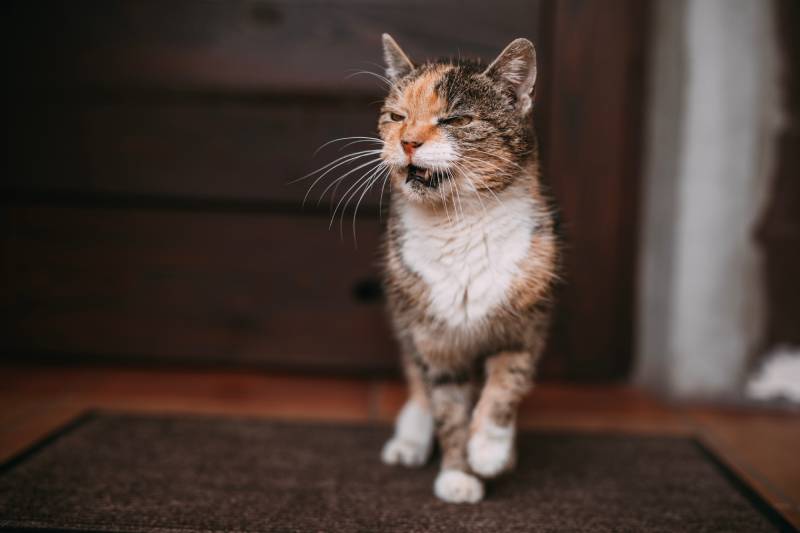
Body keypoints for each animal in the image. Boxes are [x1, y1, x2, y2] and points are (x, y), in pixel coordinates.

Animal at [378, 34, 560, 502]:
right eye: (397, 116)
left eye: (456, 119)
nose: (408, 141)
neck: (459, 223)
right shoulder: (434, 342)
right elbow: (447, 408)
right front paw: (458, 475)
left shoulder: (527, 324)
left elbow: (507, 385)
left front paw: (490, 451)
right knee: (418, 382)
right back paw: (410, 438)